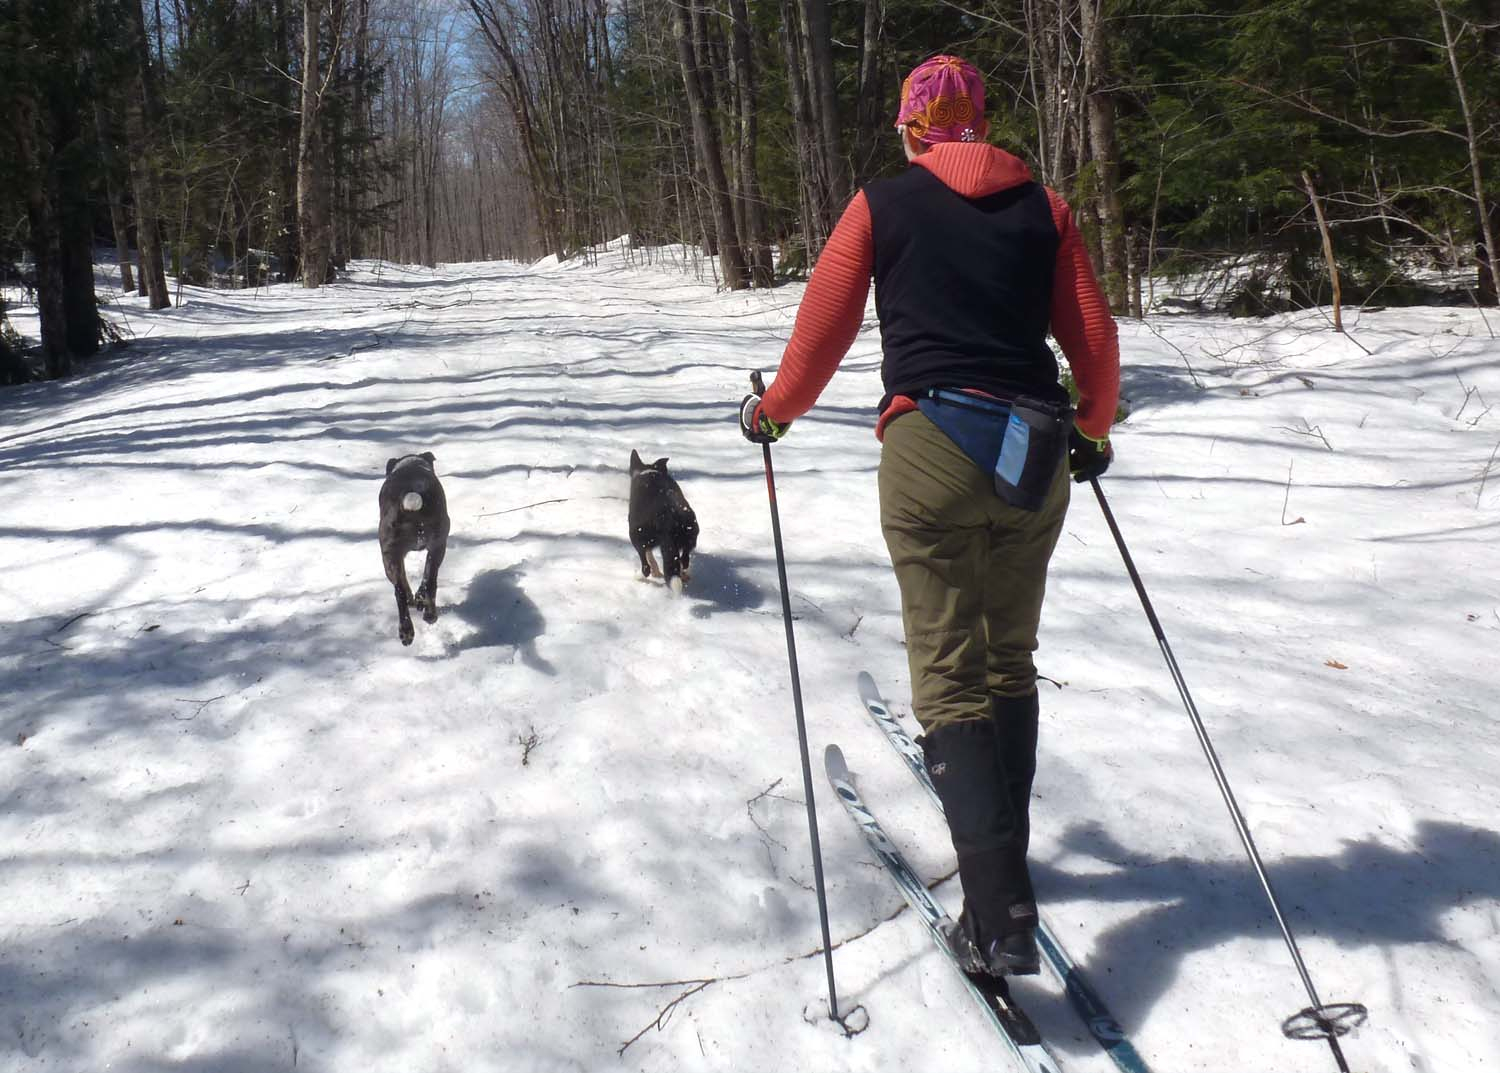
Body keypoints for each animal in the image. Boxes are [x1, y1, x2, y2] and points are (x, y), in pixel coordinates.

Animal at [378, 452, 450, 645]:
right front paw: (418, 599)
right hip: (437, 546)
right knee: (428, 581)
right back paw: (426, 617)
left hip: (390, 556)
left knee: (401, 591)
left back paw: (410, 627)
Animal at [628, 450, 698, 593]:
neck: (648, 470)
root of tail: (670, 519)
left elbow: (648, 555)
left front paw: (655, 572)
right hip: (691, 534)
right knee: (684, 560)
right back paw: (684, 575)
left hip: (637, 534)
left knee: (645, 564)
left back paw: (643, 576)